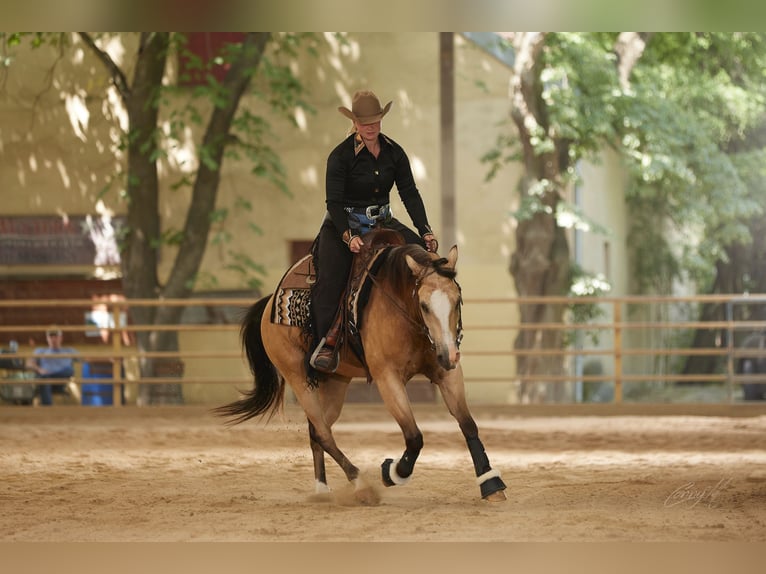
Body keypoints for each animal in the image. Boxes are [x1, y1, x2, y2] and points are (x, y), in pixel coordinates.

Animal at [215, 235, 507, 504]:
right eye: (424, 305)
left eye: (457, 300)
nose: (450, 354)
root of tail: (269, 305)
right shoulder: (387, 377)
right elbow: (414, 436)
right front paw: (392, 472)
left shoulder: (447, 373)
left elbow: (468, 424)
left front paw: (491, 483)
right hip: (298, 377)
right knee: (323, 432)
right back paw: (360, 484)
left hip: (336, 382)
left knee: (317, 430)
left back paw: (322, 489)